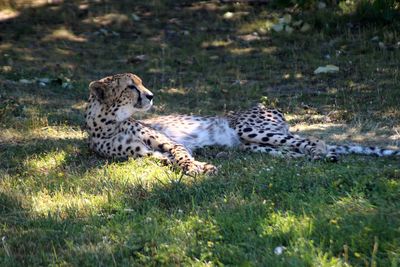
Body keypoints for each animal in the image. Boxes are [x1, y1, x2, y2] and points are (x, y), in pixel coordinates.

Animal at [85, 73, 400, 176]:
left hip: (247, 129)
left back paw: (322, 152)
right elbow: (168, 160)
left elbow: (181, 155)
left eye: (140, 84)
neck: (109, 122)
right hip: (252, 145)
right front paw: (199, 167)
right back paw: (319, 157)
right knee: (293, 151)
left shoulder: (170, 143)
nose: (150, 95)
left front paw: (197, 167)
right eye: (131, 86)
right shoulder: (146, 154)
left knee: (311, 141)